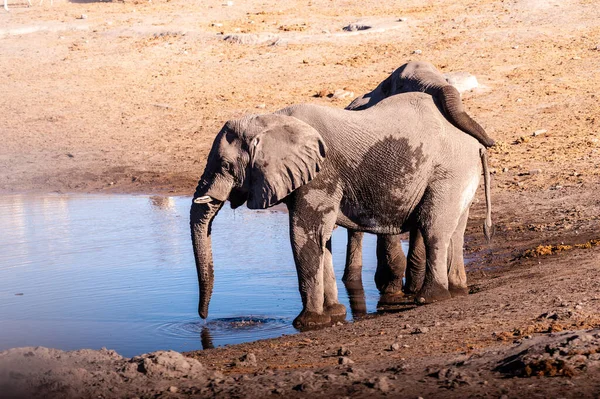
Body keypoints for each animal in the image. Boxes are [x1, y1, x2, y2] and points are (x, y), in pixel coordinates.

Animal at [191, 92, 492, 330]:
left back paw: (430, 298)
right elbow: (322, 240)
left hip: (448, 172)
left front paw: (308, 323)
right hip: (460, 174)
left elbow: (304, 236)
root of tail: (475, 142)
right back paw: (458, 290)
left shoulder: (321, 175)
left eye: (226, 166)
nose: (203, 318)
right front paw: (335, 315)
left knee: (434, 229)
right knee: (456, 231)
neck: (272, 119)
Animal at [340, 60, 494, 296]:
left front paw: (412, 287)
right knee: (356, 231)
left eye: (445, 79)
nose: (491, 142)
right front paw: (391, 289)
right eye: (406, 86)